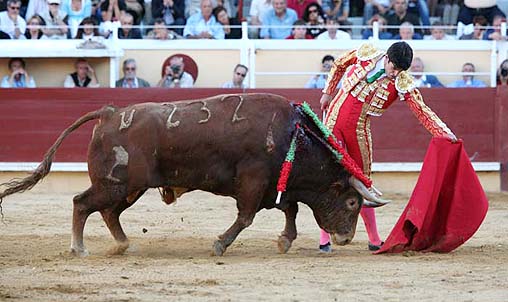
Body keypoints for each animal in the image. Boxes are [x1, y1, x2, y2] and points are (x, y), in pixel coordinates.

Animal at [0, 93, 366, 256]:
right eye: (352, 202)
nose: (346, 238)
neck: (293, 137)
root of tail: (110, 113)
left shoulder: (276, 186)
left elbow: (289, 208)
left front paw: (284, 240)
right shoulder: (254, 182)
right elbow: (247, 217)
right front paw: (220, 244)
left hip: (129, 188)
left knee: (107, 213)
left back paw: (122, 244)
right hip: (115, 184)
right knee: (82, 203)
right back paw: (79, 248)